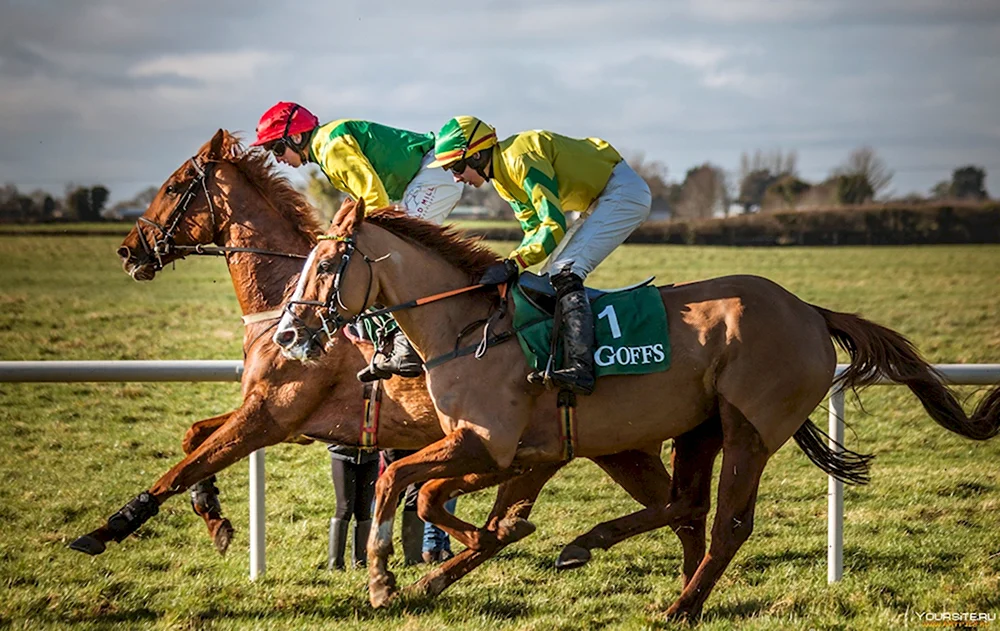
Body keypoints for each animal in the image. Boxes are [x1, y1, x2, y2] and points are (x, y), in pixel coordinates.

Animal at [72, 130, 680, 584]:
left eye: (174, 187)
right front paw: (216, 518)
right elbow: (194, 439)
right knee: (669, 508)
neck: (285, 301)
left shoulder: (276, 414)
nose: (128, 250)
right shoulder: (284, 418)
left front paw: (106, 529)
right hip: (606, 444)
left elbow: (184, 464)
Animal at [278, 202, 1000, 624]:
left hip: (747, 429)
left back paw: (677, 603)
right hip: (691, 431)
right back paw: (633, 564)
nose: (288, 332)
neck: (470, 325)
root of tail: (811, 311)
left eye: (328, 263)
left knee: (727, 521)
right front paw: (441, 569)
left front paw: (384, 583)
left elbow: (403, 483)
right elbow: (450, 503)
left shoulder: (490, 444)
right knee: (688, 507)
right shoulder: (514, 452)